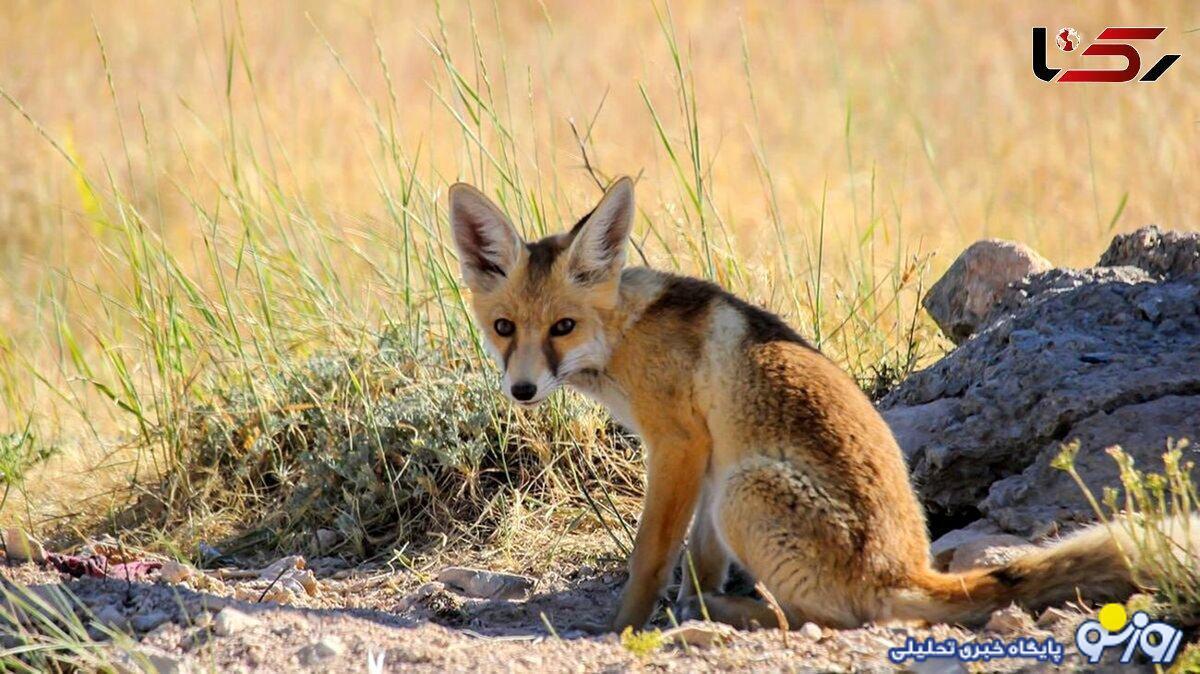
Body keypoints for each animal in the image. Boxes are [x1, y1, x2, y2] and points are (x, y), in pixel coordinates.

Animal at [448, 177, 1180, 628]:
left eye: (562, 328)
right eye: (505, 328)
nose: (521, 390)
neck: (625, 336)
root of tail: (905, 569)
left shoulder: (679, 446)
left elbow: (649, 558)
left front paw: (621, 629)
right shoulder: (707, 459)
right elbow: (700, 564)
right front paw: (686, 605)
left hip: (746, 490)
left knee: (814, 618)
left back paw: (734, 617)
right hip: (733, 488)